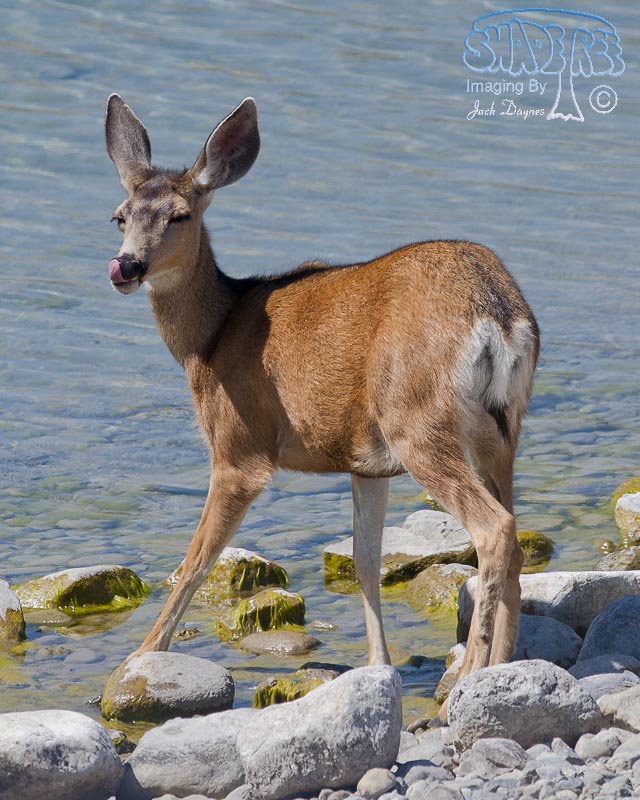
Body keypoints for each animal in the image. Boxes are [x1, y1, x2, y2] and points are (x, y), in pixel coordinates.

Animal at [105, 93, 539, 726]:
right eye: (120, 216)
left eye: (180, 216)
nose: (126, 267)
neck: (210, 339)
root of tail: (500, 315)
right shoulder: (366, 462)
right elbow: (364, 561)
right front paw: (377, 665)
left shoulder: (239, 449)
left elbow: (196, 560)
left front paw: (137, 658)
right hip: (501, 430)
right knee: (515, 534)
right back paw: (501, 669)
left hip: (418, 419)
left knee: (495, 529)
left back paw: (467, 681)